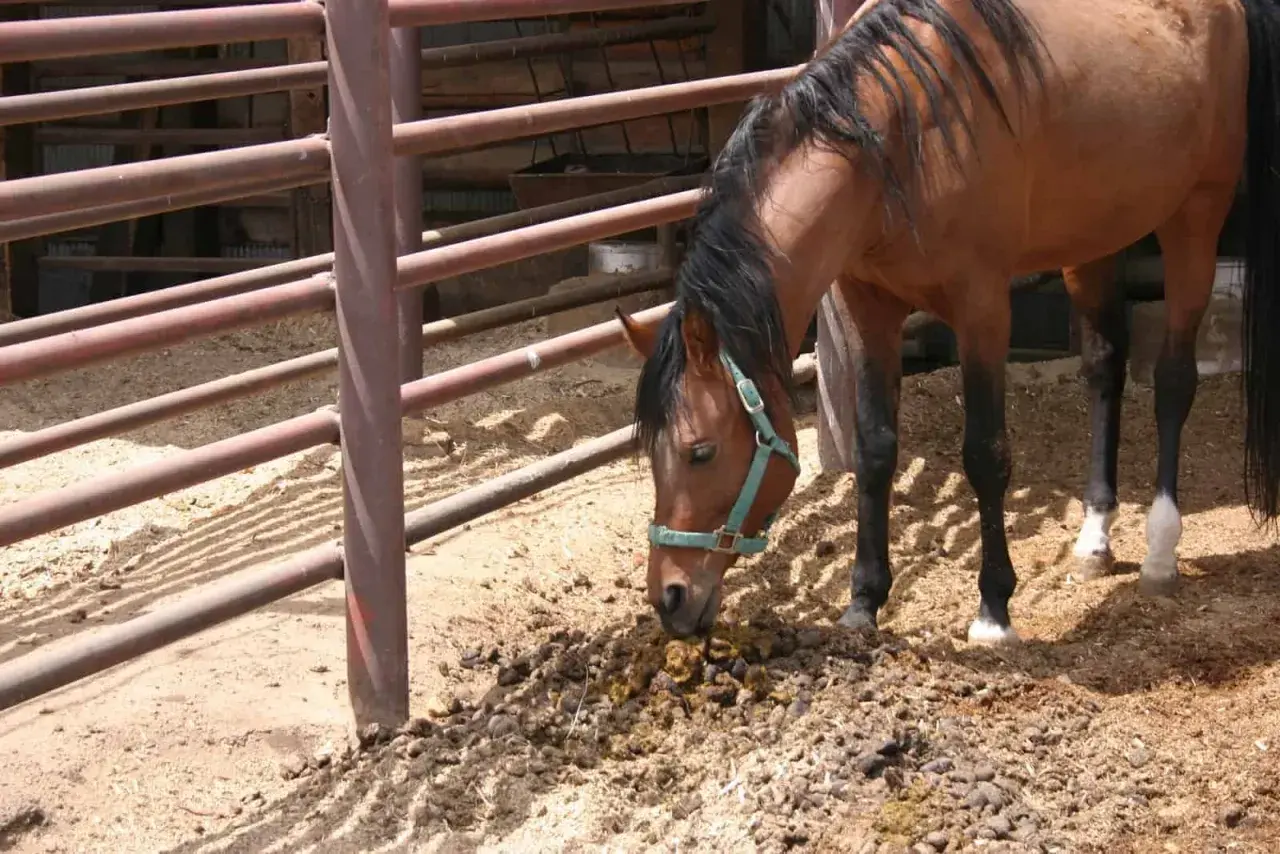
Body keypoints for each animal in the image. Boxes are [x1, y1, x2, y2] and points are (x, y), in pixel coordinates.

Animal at [615, 0, 1280, 642]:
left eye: (700, 451)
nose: (669, 597)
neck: (896, 139)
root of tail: (1226, 10)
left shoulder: (982, 305)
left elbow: (985, 452)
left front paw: (994, 610)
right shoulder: (868, 306)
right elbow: (874, 448)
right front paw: (863, 602)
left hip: (1195, 220)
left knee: (1173, 381)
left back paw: (1161, 553)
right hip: (1094, 239)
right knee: (1104, 369)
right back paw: (1095, 540)